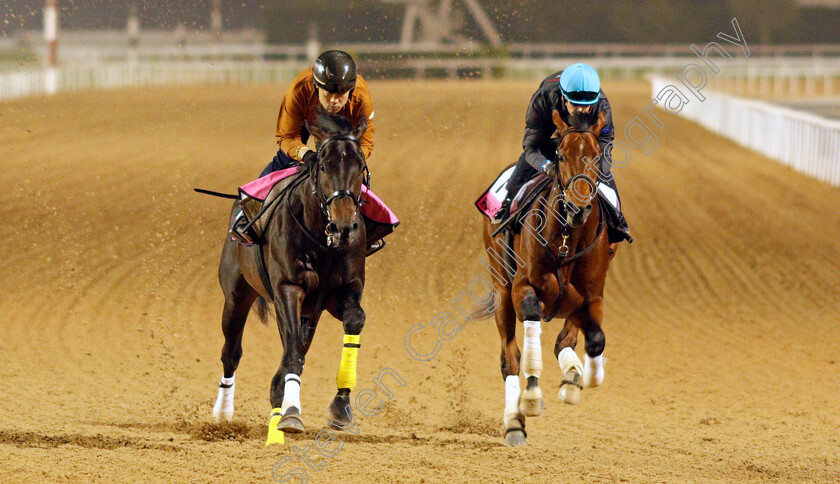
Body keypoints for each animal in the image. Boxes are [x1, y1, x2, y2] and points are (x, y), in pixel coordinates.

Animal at [210, 111, 368, 444]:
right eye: (323, 166)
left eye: (360, 167)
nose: (343, 226)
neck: (322, 241)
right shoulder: (288, 288)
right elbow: (293, 350)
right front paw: (291, 413)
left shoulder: (341, 292)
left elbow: (354, 321)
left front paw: (341, 407)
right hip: (236, 294)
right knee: (231, 352)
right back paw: (223, 413)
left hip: (310, 311)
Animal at [480, 109, 616, 446]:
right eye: (561, 155)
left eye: (596, 156)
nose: (578, 208)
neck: (567, 237)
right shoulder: (522, 287)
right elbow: (529, 325)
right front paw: (531, 396)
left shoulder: (592, 296)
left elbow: (594, 339)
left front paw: (584, 376)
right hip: (501, 289)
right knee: (510, 358)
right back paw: (514, 422)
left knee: (563, 341)